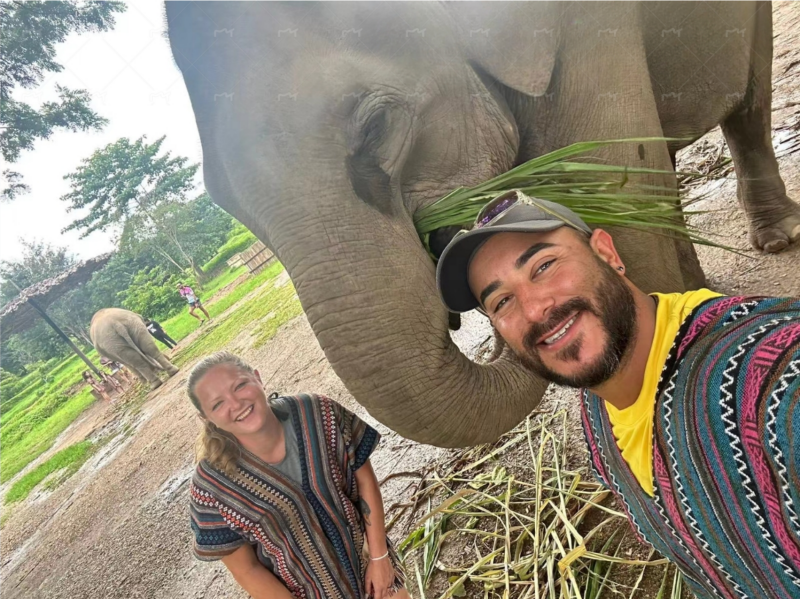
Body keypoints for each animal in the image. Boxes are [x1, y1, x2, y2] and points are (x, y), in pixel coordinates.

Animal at [166, 2, 800, 446]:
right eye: (226, 204)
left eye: (375, 127)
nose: (458, 232)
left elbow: (614, 191)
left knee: (749, 100)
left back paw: (775, 240)